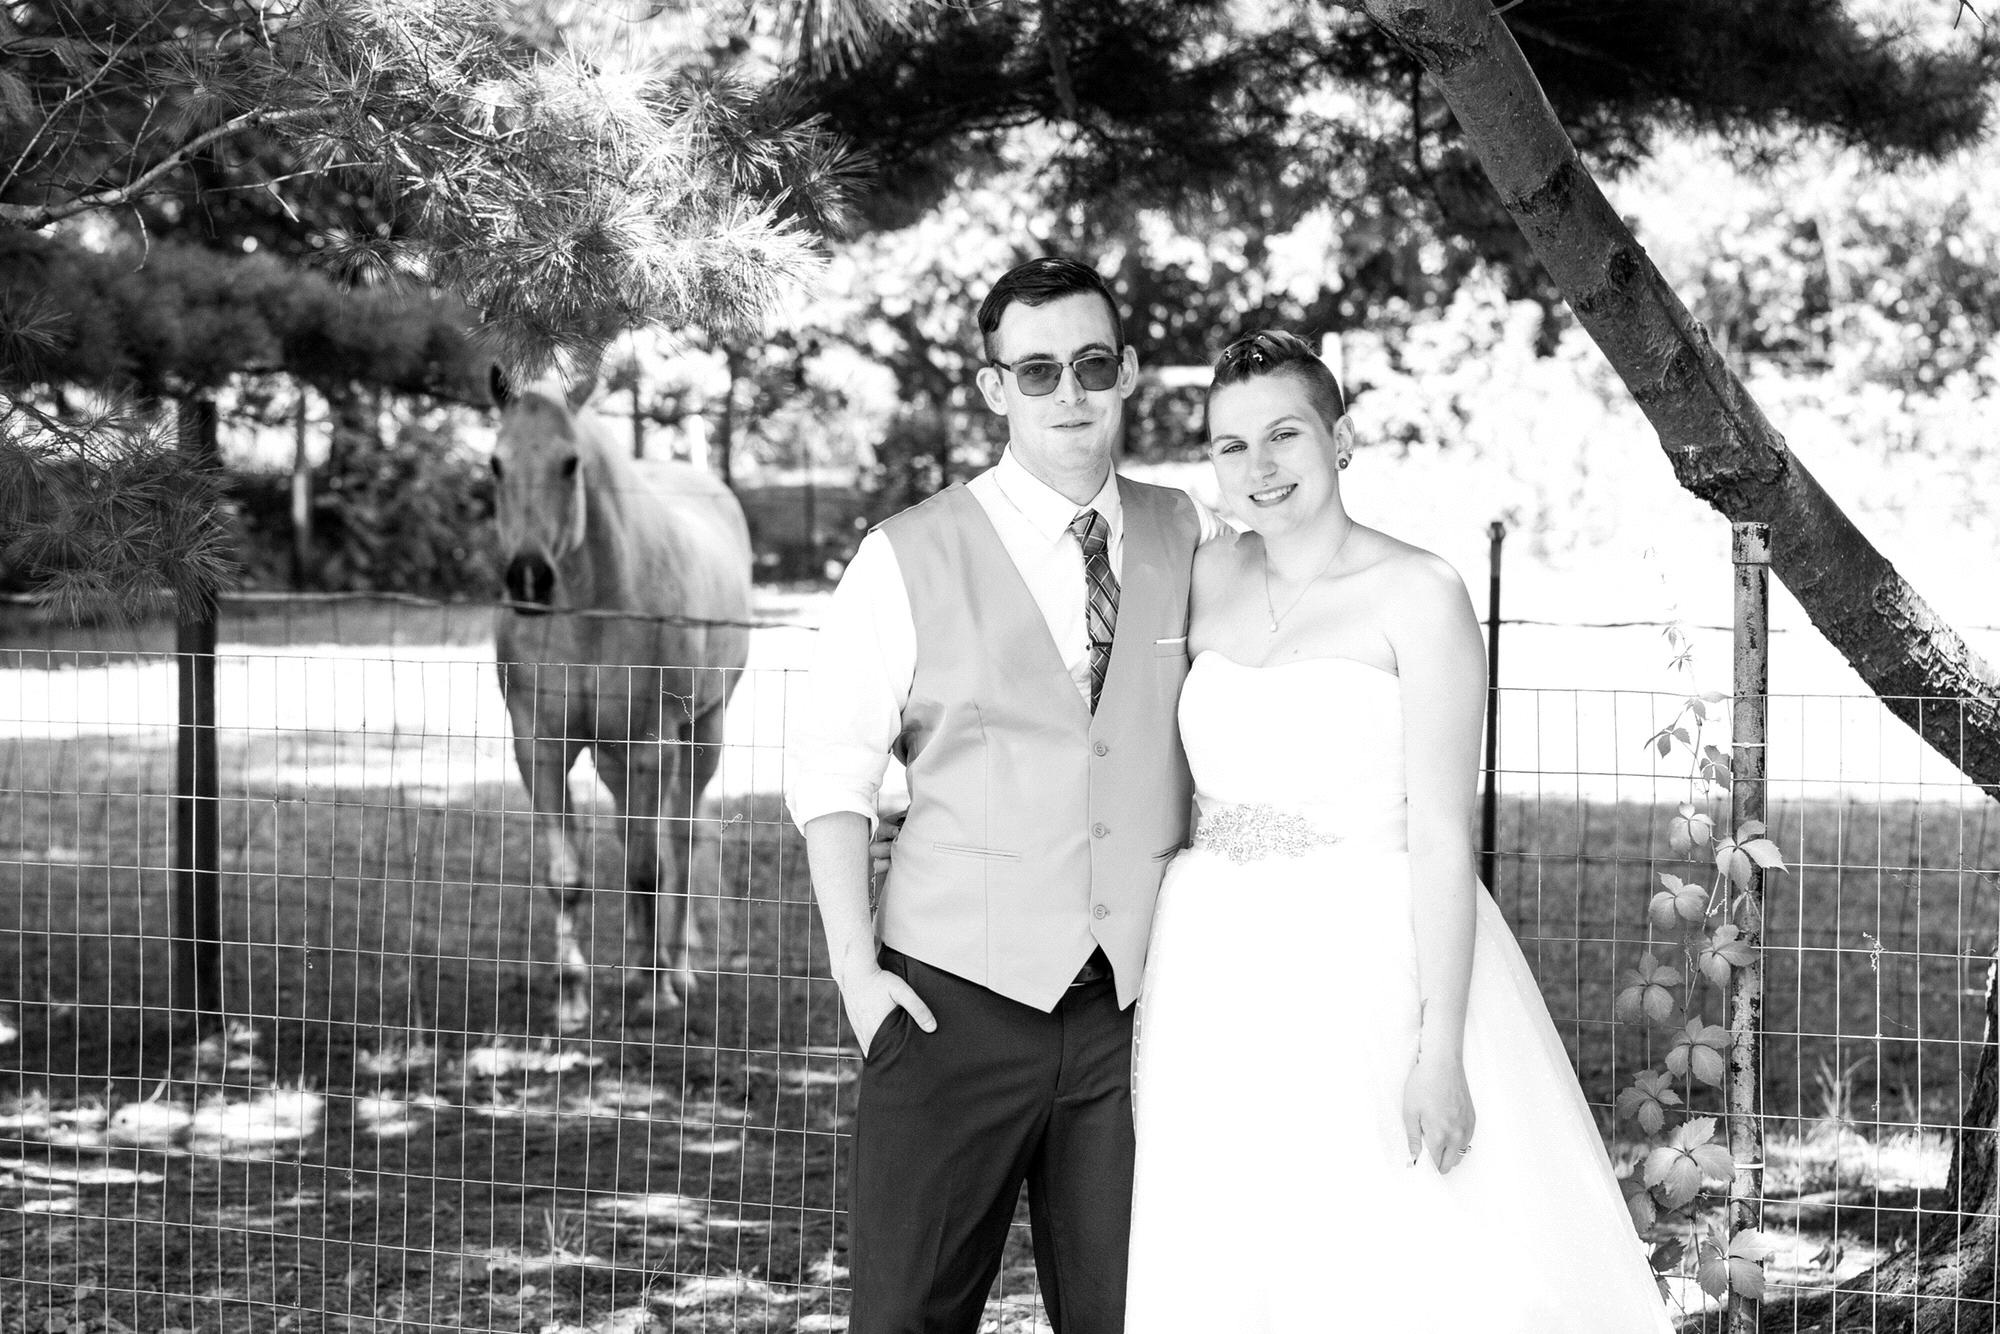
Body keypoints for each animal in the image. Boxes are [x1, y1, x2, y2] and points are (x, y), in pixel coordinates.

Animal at [488, 366, 753, 1031]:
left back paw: (675, 970)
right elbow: (568, 875)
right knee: (635, 835)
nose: (528, 578)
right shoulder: (539, 747)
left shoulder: (651, 747)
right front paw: (572, 996)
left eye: (570, 463)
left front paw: (657, 992)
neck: (590, 611)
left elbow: (648, 868)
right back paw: (636, 966)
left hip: (703, 732)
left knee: (679, 841)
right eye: (495, 464)